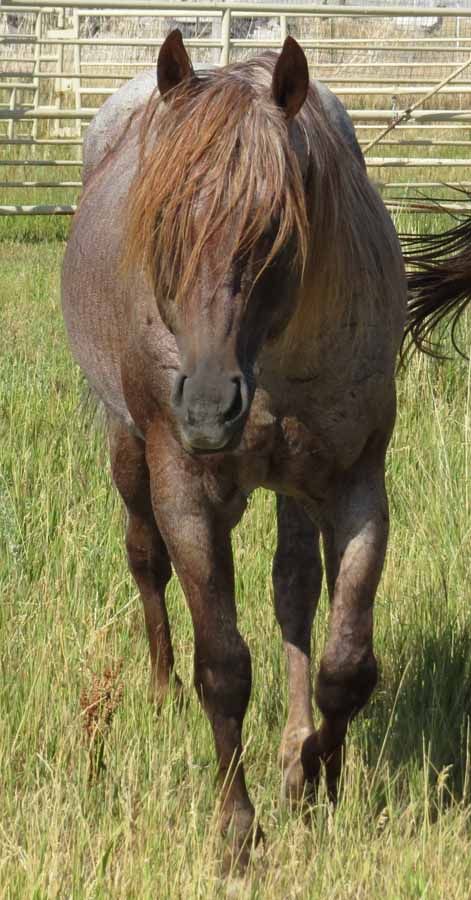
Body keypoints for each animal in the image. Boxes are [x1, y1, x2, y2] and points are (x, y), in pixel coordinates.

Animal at [62, 31, 406, 862]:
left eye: (276, 229)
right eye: (162, 223)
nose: (208, 409)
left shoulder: (354, 484)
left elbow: (344, 663)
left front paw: (318, 777)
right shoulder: (186, 493)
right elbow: (221, 667)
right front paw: (238, 833)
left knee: (292, 592)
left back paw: (293, 752)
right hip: (129, 452)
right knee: (144, 560)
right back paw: (159, 694)